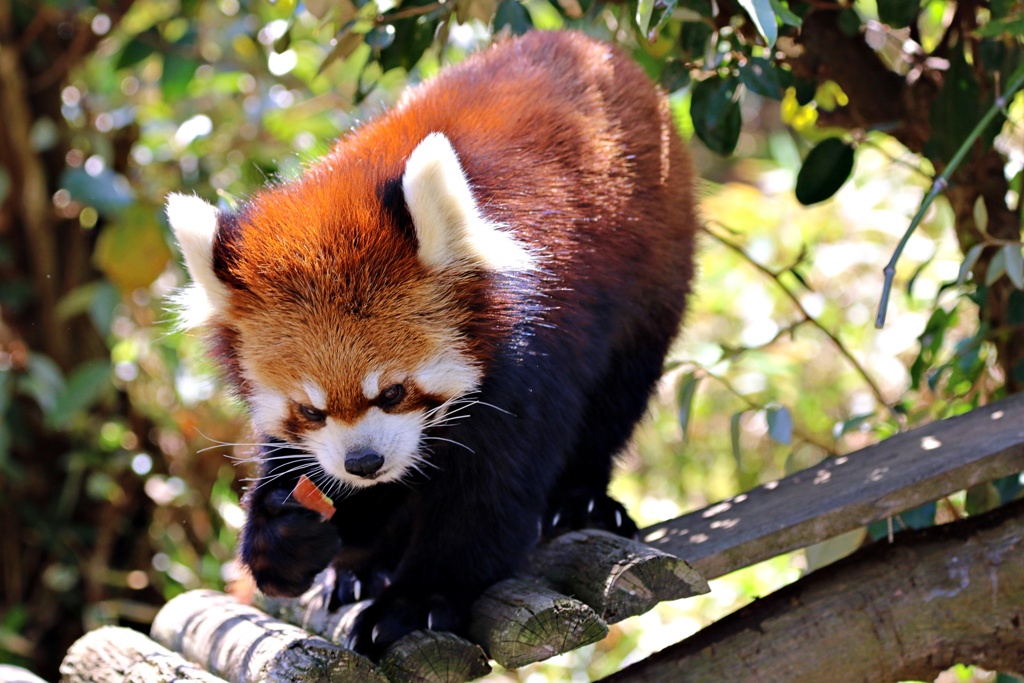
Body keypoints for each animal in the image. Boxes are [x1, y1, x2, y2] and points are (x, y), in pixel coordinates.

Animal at [169, 30, 696, 655]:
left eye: (393, 392)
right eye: (309, 410)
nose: (364, 463)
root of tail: (582, 40)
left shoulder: (533, 358)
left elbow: (488, 494)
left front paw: (417, 601)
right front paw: (287, 539)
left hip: (653, 277)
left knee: (617, 397)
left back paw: (582, 499)